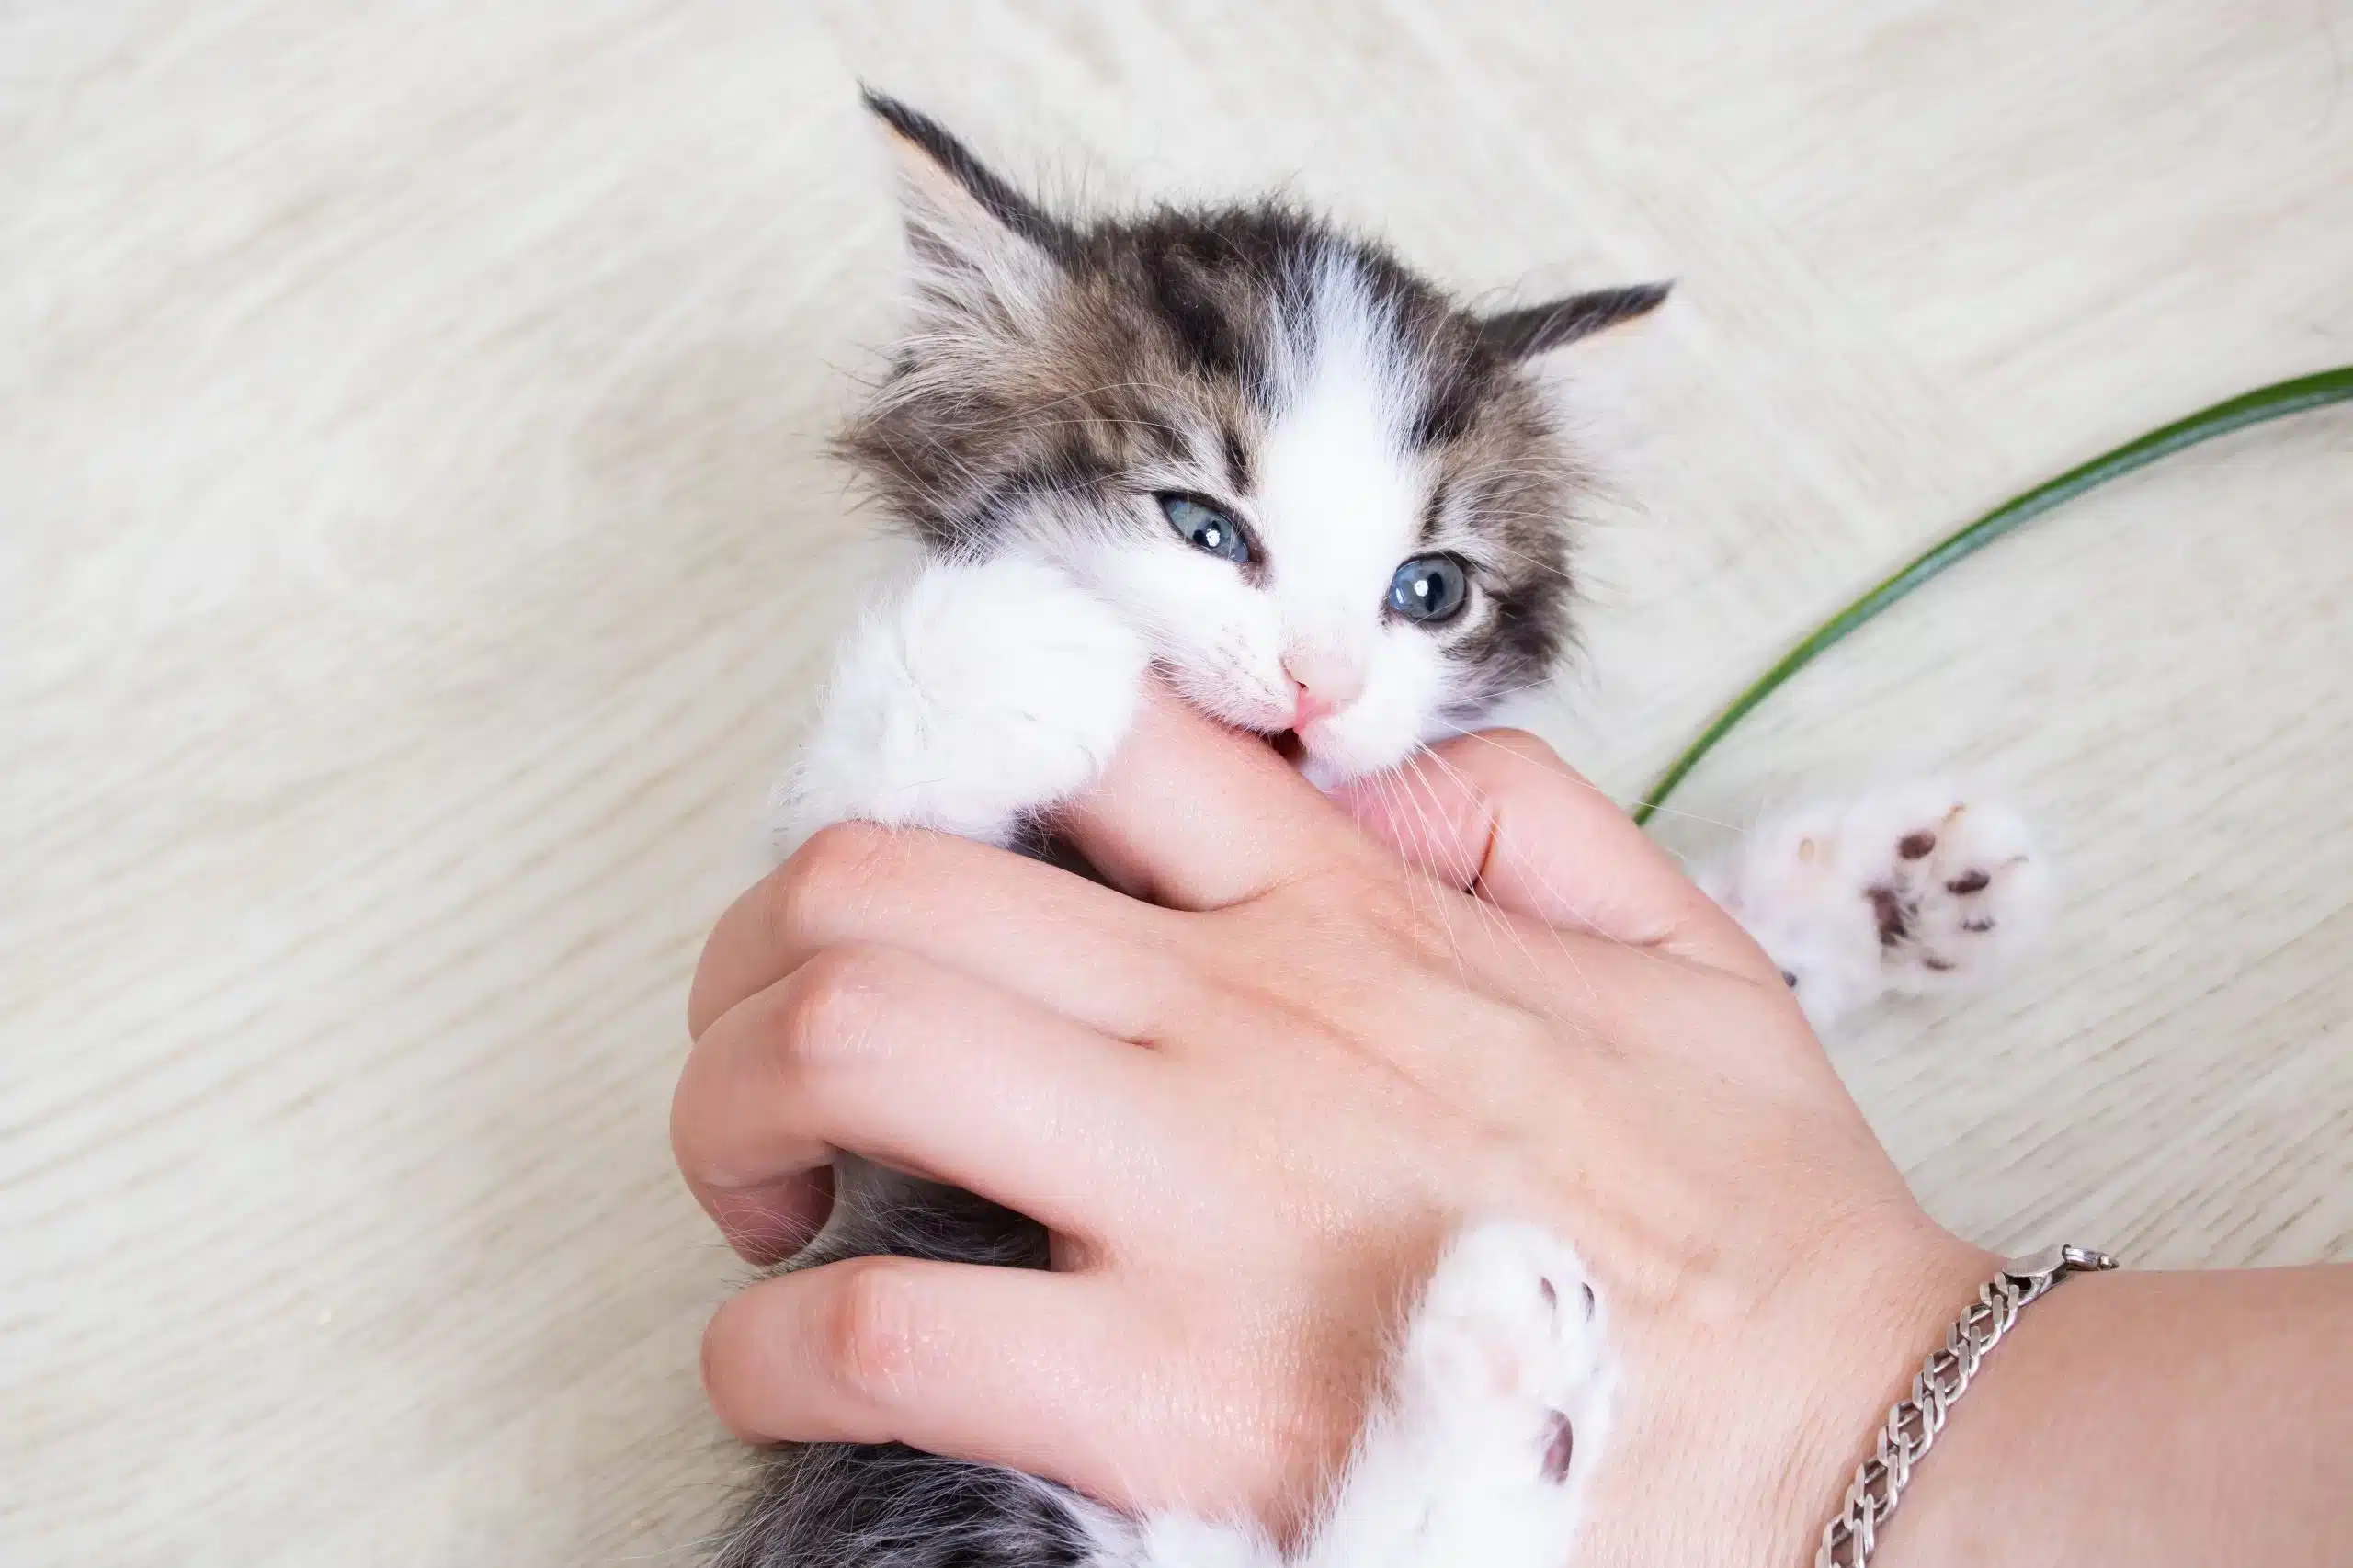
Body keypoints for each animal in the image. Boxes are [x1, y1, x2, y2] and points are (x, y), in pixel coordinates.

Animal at [710, 95, 2061, 1562]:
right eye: (1200, 524)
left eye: (1429, 590)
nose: (1322, 684)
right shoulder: (877, 1100)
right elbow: (856, 801)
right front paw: (1007, 641)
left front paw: (1879, 889)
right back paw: (1512, 1377)